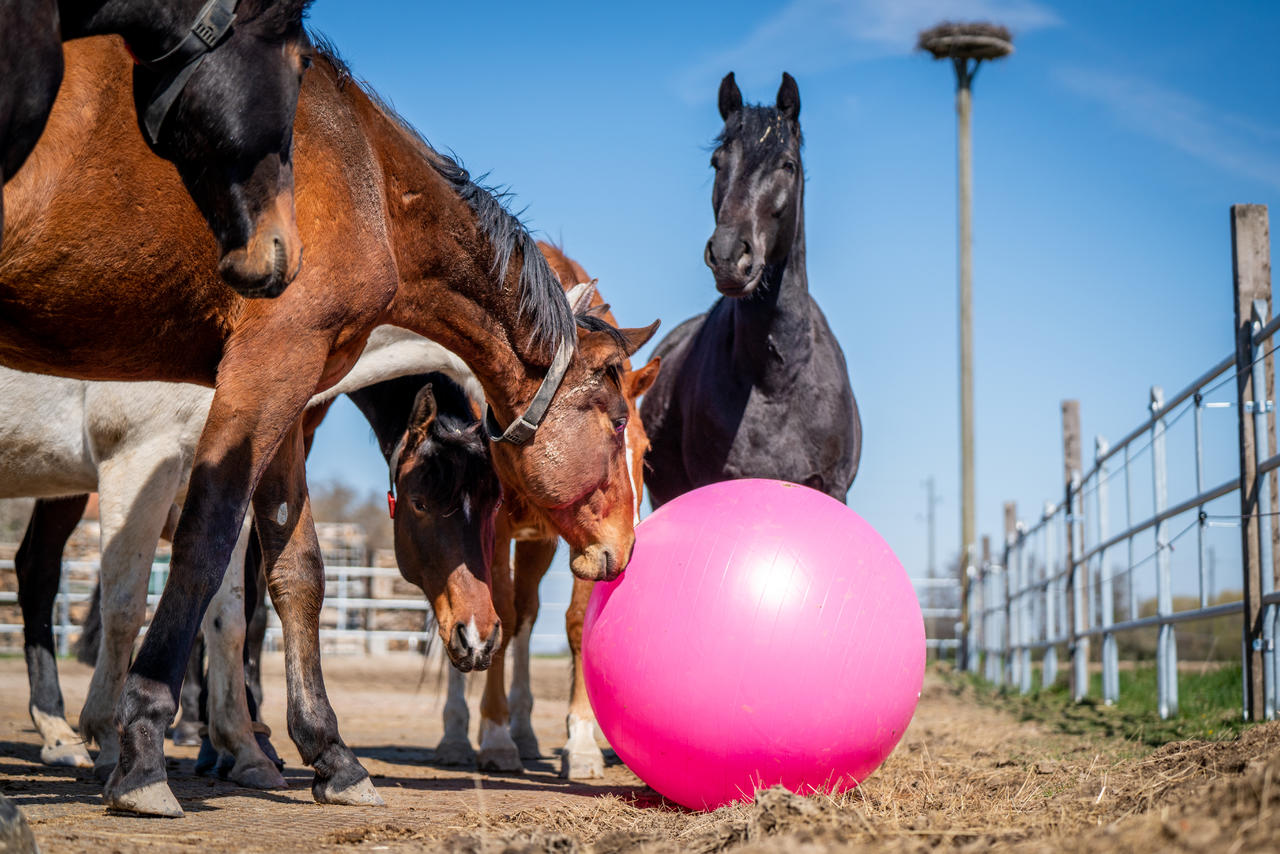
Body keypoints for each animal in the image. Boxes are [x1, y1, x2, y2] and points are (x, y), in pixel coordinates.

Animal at [0, 37, 655, 817]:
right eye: (613, 421)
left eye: (491, 497)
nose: (624, 547)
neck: (367, 180)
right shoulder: (187, 425)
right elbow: (180, 565)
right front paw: (137, 748)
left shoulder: (280, 391)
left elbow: (288, 577)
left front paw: (319, 755)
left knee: (39, 572)